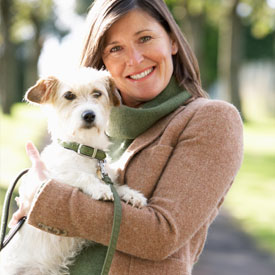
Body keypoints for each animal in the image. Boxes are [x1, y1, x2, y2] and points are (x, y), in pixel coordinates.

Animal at [1, 67, 148, 275]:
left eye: (97, 93)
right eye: (69, 95)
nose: (89, 115)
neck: (84, 150)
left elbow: (115, 186)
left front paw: (132, 194)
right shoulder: (53, 175)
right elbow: (82, 175)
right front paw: (100, 188)